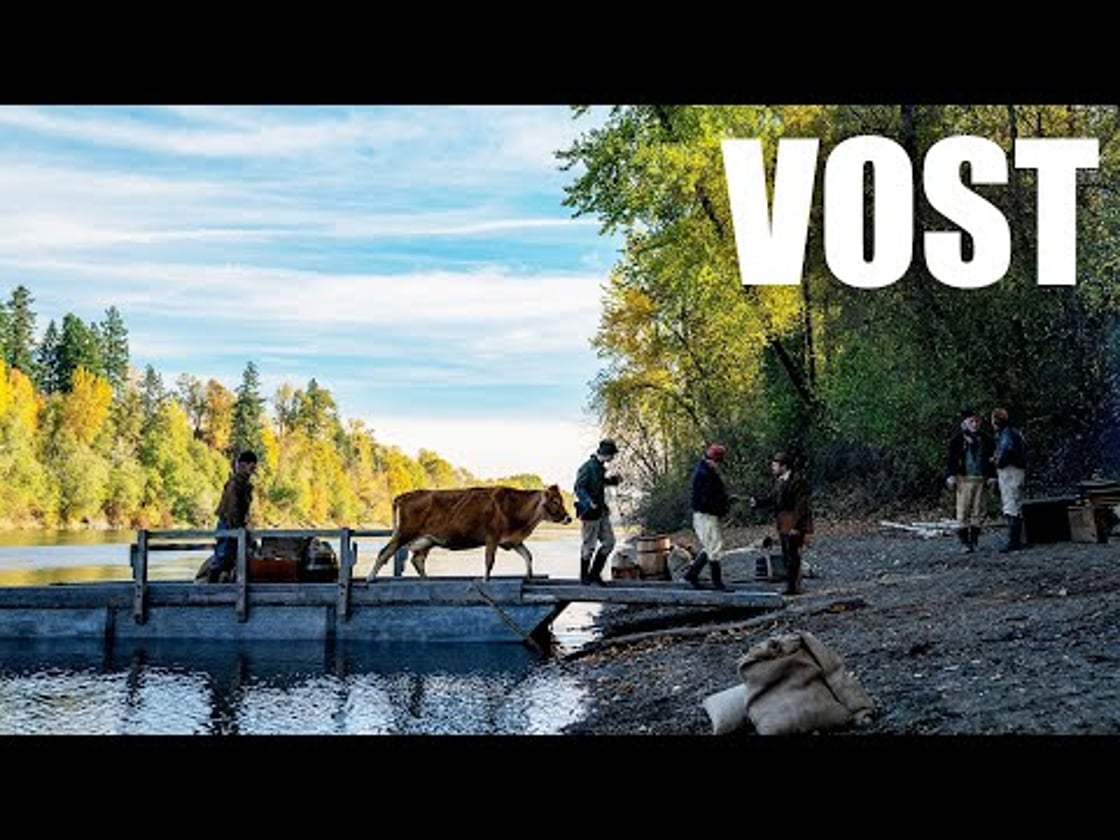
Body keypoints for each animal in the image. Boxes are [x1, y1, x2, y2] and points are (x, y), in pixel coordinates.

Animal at [366, 485, 573, 581]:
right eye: (555, 501)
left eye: (561, 500)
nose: (569, 518)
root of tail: (405, 495)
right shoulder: (492, 537)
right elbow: (489, 561)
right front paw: (485, 580)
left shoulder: (512, 540)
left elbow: (528, 556)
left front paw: (529, 575)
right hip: (404, 532)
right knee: (384, 552)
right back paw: (370, 578)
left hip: (426, 540)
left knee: (417, 560)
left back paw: (427, 579)